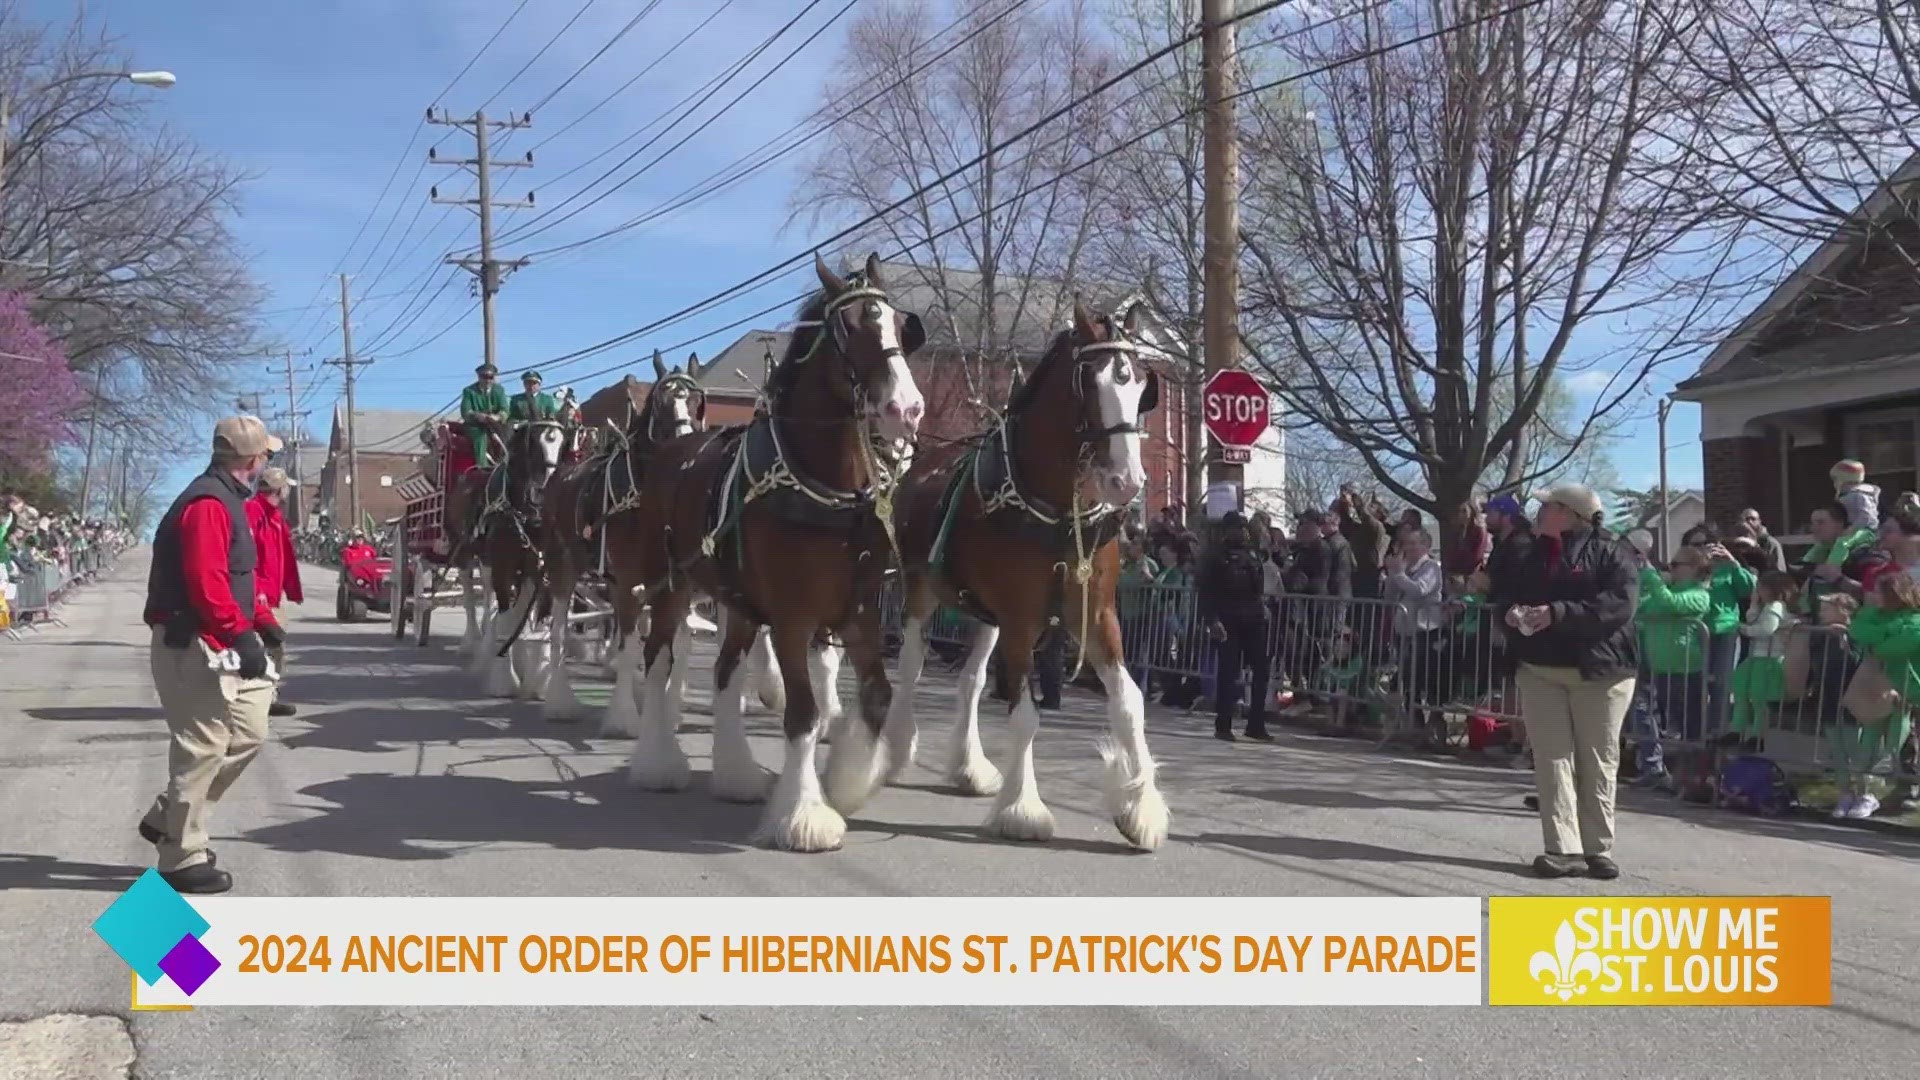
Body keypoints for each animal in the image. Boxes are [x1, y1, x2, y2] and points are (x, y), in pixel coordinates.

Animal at [610, 251, 917, 849]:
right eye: (850, 328)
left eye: (899, 324)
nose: (906, 408)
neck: (823, 488)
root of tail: (676, 451)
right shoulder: (795, 620)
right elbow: (803, 714)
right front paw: (804, 814)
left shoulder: (860, 613)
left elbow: (876, 696)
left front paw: (845, 785)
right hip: (671, 585)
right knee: (658, 661)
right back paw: (659, 764)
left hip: (741, 603)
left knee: (725, 673)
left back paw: (736, 776)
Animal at [879, 295, 1159, 849]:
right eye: (1090, 380)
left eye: (1141, 383)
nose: (1126, 481)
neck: (1057, 509)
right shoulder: (1022, 617)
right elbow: (1025, 712)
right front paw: (1023, 808)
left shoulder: (1094, 613)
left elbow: (1129, 702)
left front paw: (1140, 808)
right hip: (922, 590)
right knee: (912, 663)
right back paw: (899, 748)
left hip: (984, 614)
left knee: (970, 680)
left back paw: (969, 766)